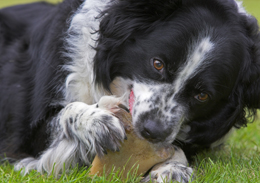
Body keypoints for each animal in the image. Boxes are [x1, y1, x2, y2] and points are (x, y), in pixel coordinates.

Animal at [0, 0, 260, 182]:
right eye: (157, 64)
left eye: (202, 95)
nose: (152, 132)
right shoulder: (26, 136)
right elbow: (65, 114)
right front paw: (96, 123)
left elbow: (177, 146)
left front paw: (172, 168)